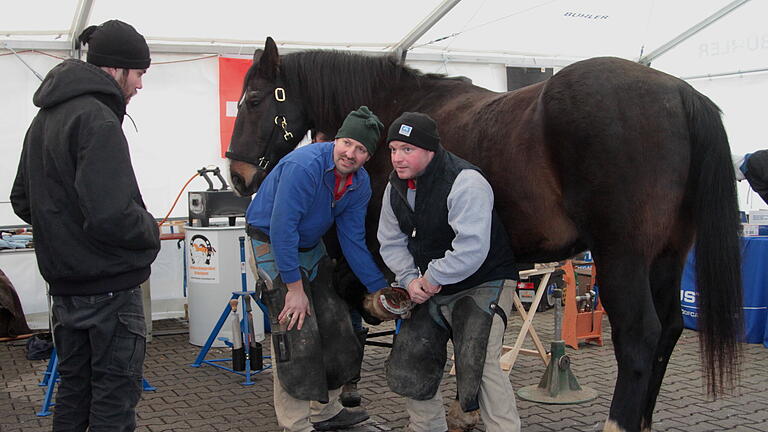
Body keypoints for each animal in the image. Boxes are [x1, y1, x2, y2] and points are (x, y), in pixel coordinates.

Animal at [225, 36, 740, 432]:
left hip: (623, 257)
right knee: (669, 329)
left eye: (255, 100)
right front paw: (462, 409)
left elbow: (357, 308)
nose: (238, 175)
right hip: (667, 257)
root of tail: (679, 93)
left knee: (639, 337)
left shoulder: (370, 250)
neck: (396, 112)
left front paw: (346, 389)